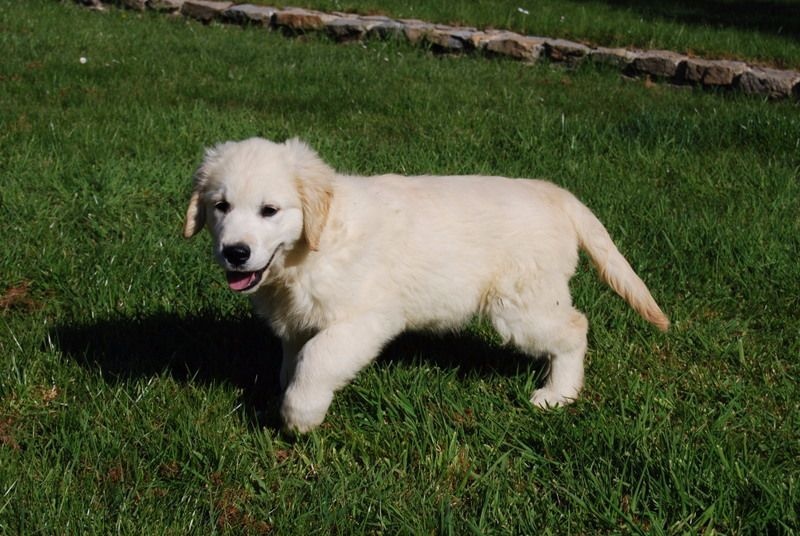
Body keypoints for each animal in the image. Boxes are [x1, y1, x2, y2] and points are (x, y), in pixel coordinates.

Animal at [183, 137, 669, 433]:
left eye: (270, 210)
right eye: (221, 206)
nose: (236, 252)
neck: (314, 246)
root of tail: (556, 194)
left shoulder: (365, 318)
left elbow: (317, 360)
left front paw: (299, 414)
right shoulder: (299, 317)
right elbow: (294, 359)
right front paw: (282, 397)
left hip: (521, 304)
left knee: (574, 329)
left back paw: (557, 394)